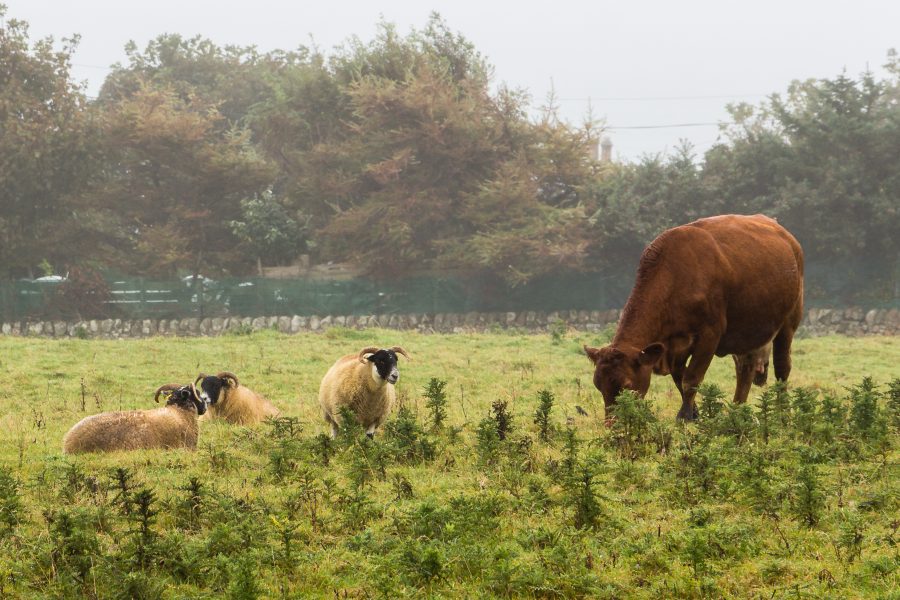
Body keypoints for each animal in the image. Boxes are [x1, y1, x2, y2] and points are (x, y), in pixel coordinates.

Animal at [588, 213, 804, 420]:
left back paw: (784, 414)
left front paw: (685, 417)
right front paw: (695, 415)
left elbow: (691, 379)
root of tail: (788, 238)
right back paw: (737, 412)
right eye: (598, 385)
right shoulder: (675, 346)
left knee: (782, 368)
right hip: (748, 329)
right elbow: (679, 379)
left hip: (789, 322)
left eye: (626, 385)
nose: (613, 424)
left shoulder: (709, 335)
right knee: (745, 368)